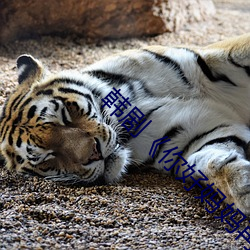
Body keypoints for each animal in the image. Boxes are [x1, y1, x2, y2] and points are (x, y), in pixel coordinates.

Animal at [0, 33, 250, 213]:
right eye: (48, 157)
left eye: (65, 115)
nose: (95, 153)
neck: (129, 109)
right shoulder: (193, 135)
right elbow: (214, 161)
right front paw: (243, 190)